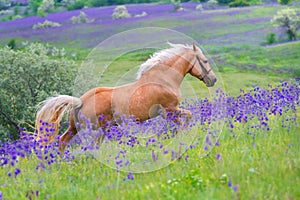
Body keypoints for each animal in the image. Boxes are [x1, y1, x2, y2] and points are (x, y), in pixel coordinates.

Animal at [35, 43, 216, 152]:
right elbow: (187, 119)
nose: (213, 80)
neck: (163, 80)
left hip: (77, 128)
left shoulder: (170, 112)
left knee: (62, 141)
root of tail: (80, 101)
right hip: (95, 129)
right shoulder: (170, 110)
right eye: (205, 60)